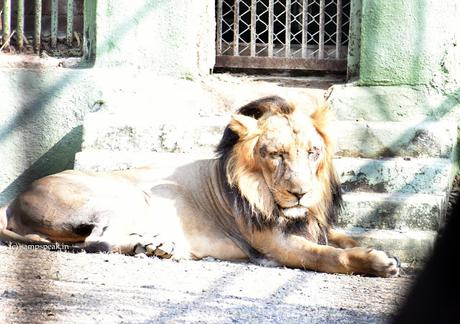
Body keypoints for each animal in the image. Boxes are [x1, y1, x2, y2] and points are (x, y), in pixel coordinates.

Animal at [0, 95, 398, 276]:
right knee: (96, 241)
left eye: (313, 152)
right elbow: (330, 255)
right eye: (275, 154)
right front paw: (379, 262)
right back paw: (160, 247)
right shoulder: (276, 244)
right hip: (123, 195)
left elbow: (345, 239)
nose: (300, 193)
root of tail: (15, 201)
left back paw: (157, 246)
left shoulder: (315, 226)